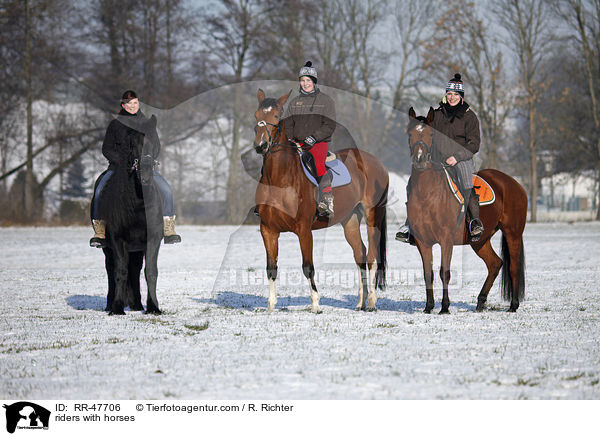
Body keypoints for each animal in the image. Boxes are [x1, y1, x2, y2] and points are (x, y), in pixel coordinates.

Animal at [95, 114, 163, 316]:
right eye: (132, 144)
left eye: (154, 140)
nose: (145, 173)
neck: (139, 203)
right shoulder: (118, 240)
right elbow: (120, 272)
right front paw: (117, 308)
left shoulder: (152, 238)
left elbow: (150, 271)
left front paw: (153, 307)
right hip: (108, 247)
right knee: (111, 269)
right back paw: (110, 304)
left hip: (136, 248)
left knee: (135, 269)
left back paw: (137, 304)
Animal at [252, 89, 390, 314]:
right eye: (256, 115)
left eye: (276, 116)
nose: (261, 145)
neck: (280, 179)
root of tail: (376, 163)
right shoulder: (268, 230)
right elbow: (271, 268)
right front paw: (271, 306)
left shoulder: (304, 230)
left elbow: (308, 267)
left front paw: (316, 304)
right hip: (350, 220)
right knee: (360, 254)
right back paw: (360, 303)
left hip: (372, 216)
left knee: (371, 257)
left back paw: (371, 302)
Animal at [406, 108, 528, 314]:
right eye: (410, 134)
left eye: (431, 134)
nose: (419, 159)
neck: (427, 193)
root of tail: (513, 183)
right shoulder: (423, 241)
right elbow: (427, 274)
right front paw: (428, 307)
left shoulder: (446, 240)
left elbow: (444, 273)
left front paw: (444, 307)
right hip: (480, 240)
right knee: (495, 264)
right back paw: (480, 302)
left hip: (513, 233)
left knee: (513, 267)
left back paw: (513, 305)